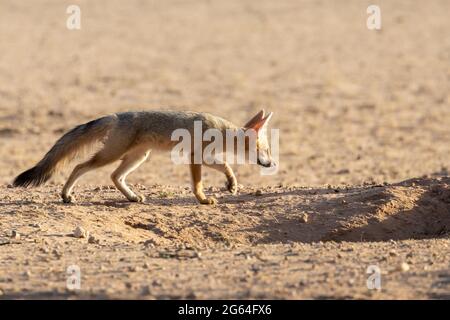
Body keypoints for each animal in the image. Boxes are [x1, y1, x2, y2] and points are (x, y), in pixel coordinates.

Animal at [12, 110, 276, 205]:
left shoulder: (206, 156)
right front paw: (202, 199)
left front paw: (232, 184)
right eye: (267, 150)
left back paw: (131, 197)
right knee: (79, 166)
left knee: (115, 176)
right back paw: (66, 195)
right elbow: (198, 183)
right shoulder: (195, 156)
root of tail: (116, 115)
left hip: (137, 157)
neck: (220, 131)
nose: (272, 163)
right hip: (112, 155)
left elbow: (226, 165)